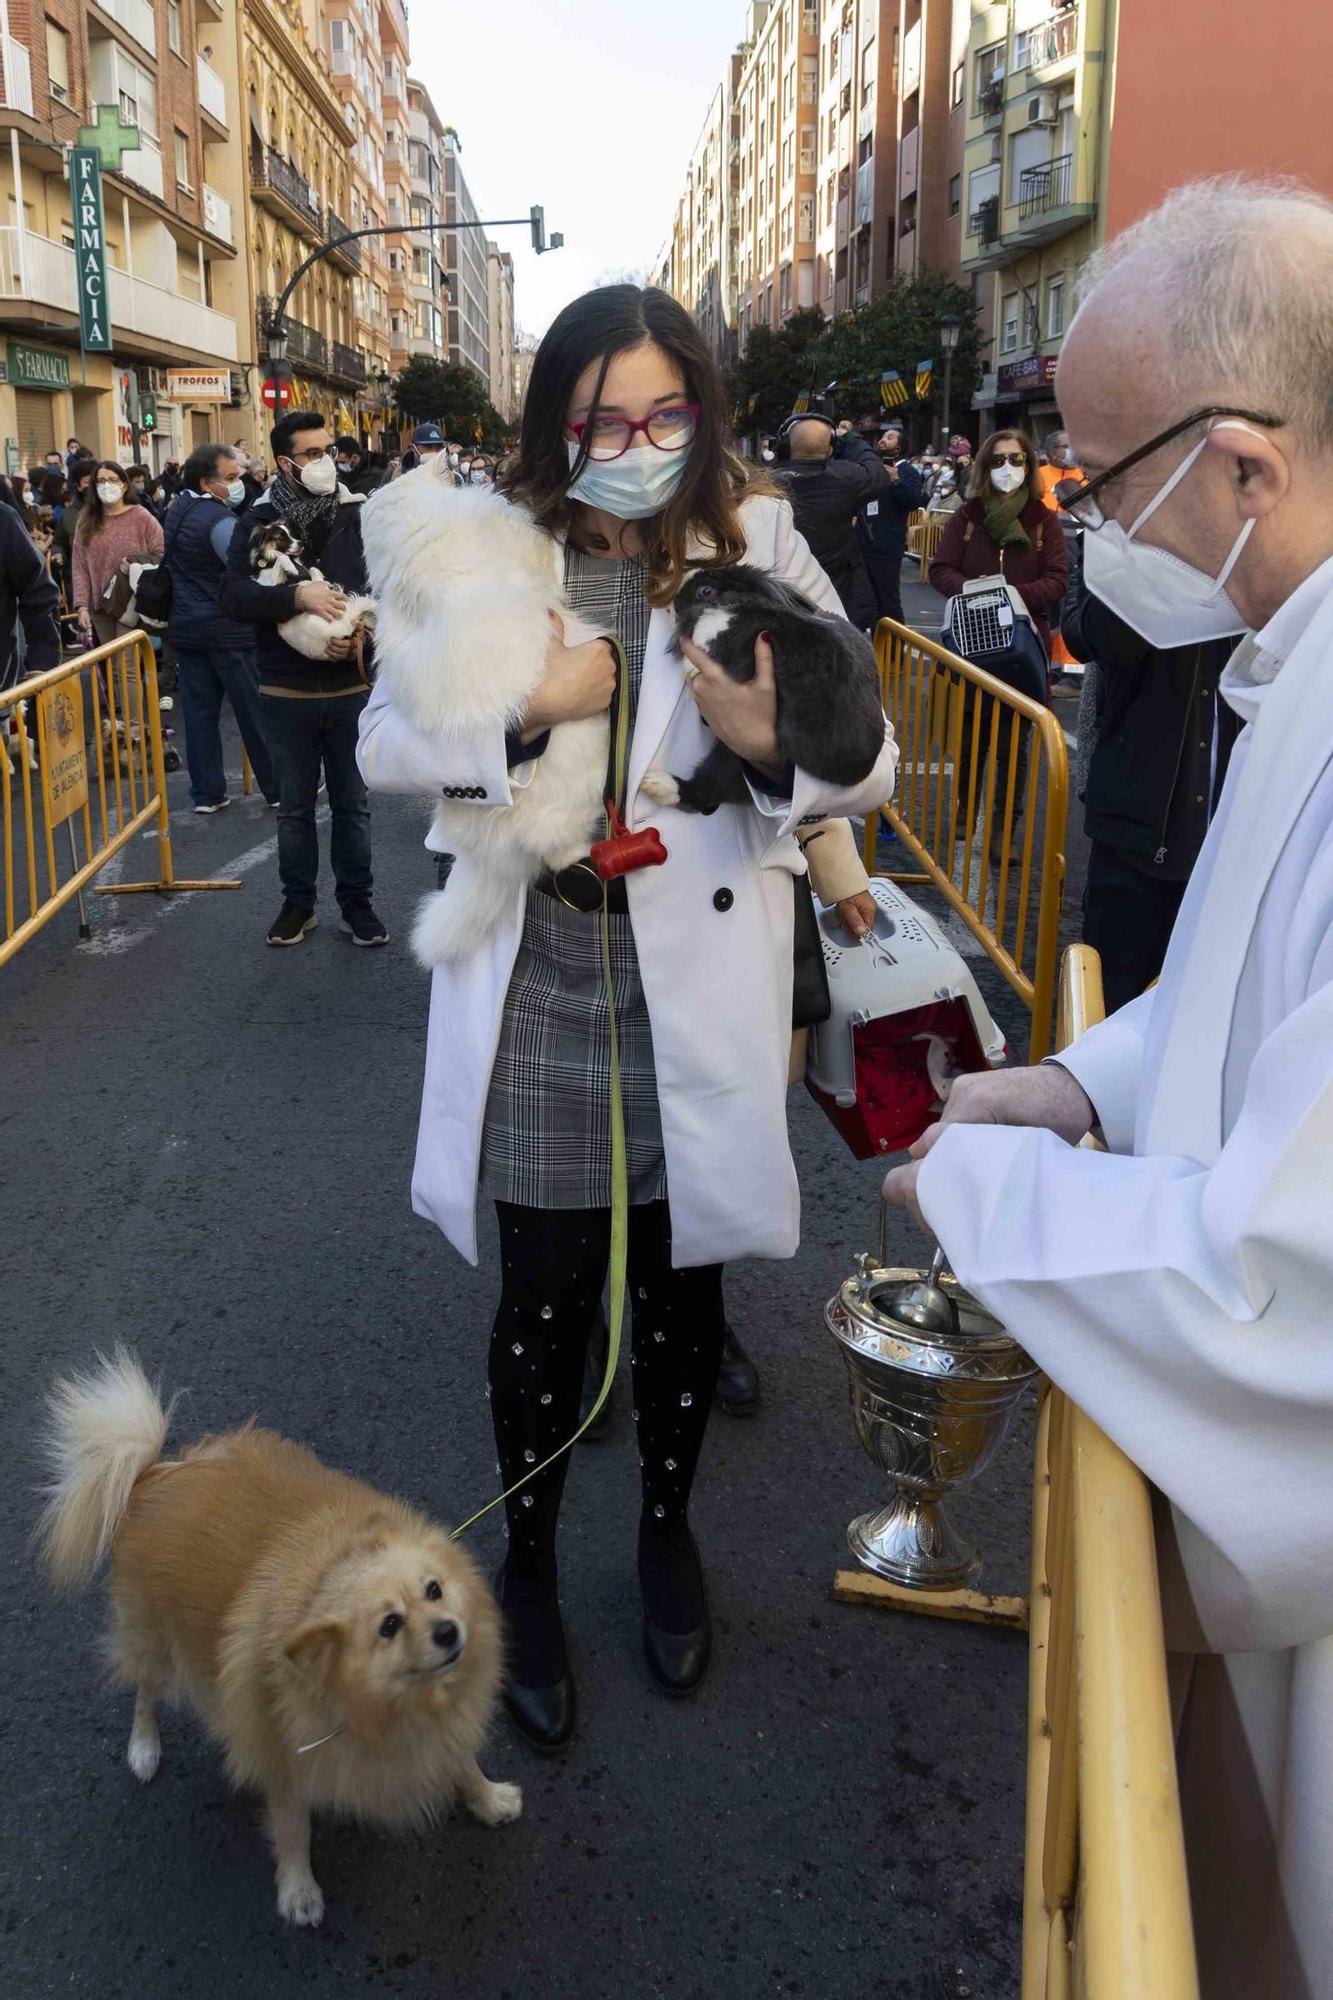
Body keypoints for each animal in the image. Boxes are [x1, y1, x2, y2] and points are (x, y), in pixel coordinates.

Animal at [41, 1352, 520, 1928]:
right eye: (389, 1625)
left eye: (435, 1590)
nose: (449, 1630)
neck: (399, 1705)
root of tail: (153, 1473)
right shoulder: (281, 1750)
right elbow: (294, 1827)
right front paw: (298, 1890)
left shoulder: (441, 1730)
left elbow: (463, 1762)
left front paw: (489, 1799)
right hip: (158, 1645)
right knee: (145, 1690)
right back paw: (144, 1748)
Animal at [640, 564, 880, 812]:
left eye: (705, 591)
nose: (670, 598)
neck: (742, 605)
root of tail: (860, 771)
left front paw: (690, 667)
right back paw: (655, 784)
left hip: (734, 757)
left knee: (706, 790)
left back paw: (657, 784)